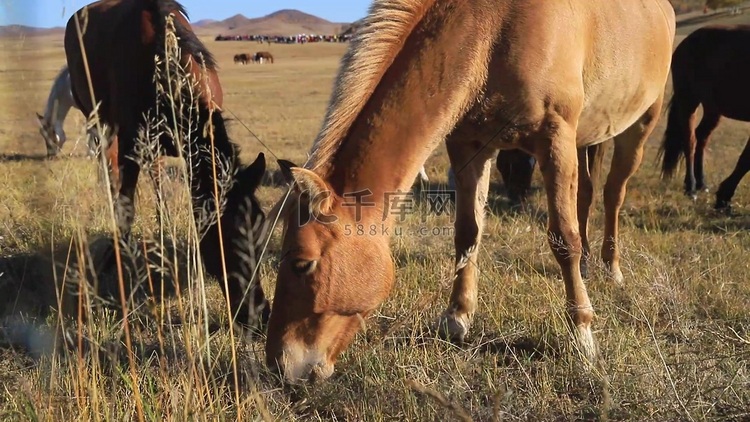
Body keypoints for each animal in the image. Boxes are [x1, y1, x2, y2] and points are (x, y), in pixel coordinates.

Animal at [64, 0, 270, 328]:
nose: (259, 313)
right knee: (110, 169)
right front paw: (116, 259)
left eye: (261, 235)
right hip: (95, 117)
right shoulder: (131, 145)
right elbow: (126, 209)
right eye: (224, 241)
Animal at [268, 0, 676, 382]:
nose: (279, 365)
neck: (494, 27)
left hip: (639, 125)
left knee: (613, 194)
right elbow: (467, 233)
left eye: (301, 263)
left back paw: (611, 267)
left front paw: (583, 335)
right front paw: (457, 318)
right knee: (588, 194)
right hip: (590, 138)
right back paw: (591, 263)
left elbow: (564, 239)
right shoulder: (469, 145)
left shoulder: (556, 139)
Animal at [660, 24, 748, 208]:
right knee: (690, 141)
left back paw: (701, 183)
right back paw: (691, 187)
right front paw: (723, 197)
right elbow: (746, 159)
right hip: (688, 101)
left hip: (713, 109)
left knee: (701, 137)